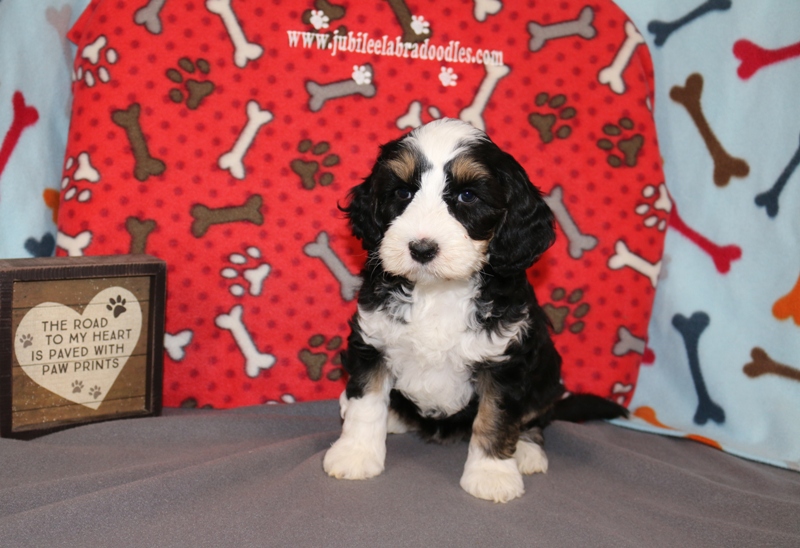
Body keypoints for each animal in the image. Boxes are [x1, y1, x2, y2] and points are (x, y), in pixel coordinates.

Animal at [323, 118, 626, 503]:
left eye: (467, 196)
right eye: (402, 193)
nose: (422, 249)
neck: (439, 290)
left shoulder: (504, 360)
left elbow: (495, 418)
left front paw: (492, 474)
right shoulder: (373, 340)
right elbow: (366, 402)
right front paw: (356, 454)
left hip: (547, 371)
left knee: (534, 417)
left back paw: (527, 451)